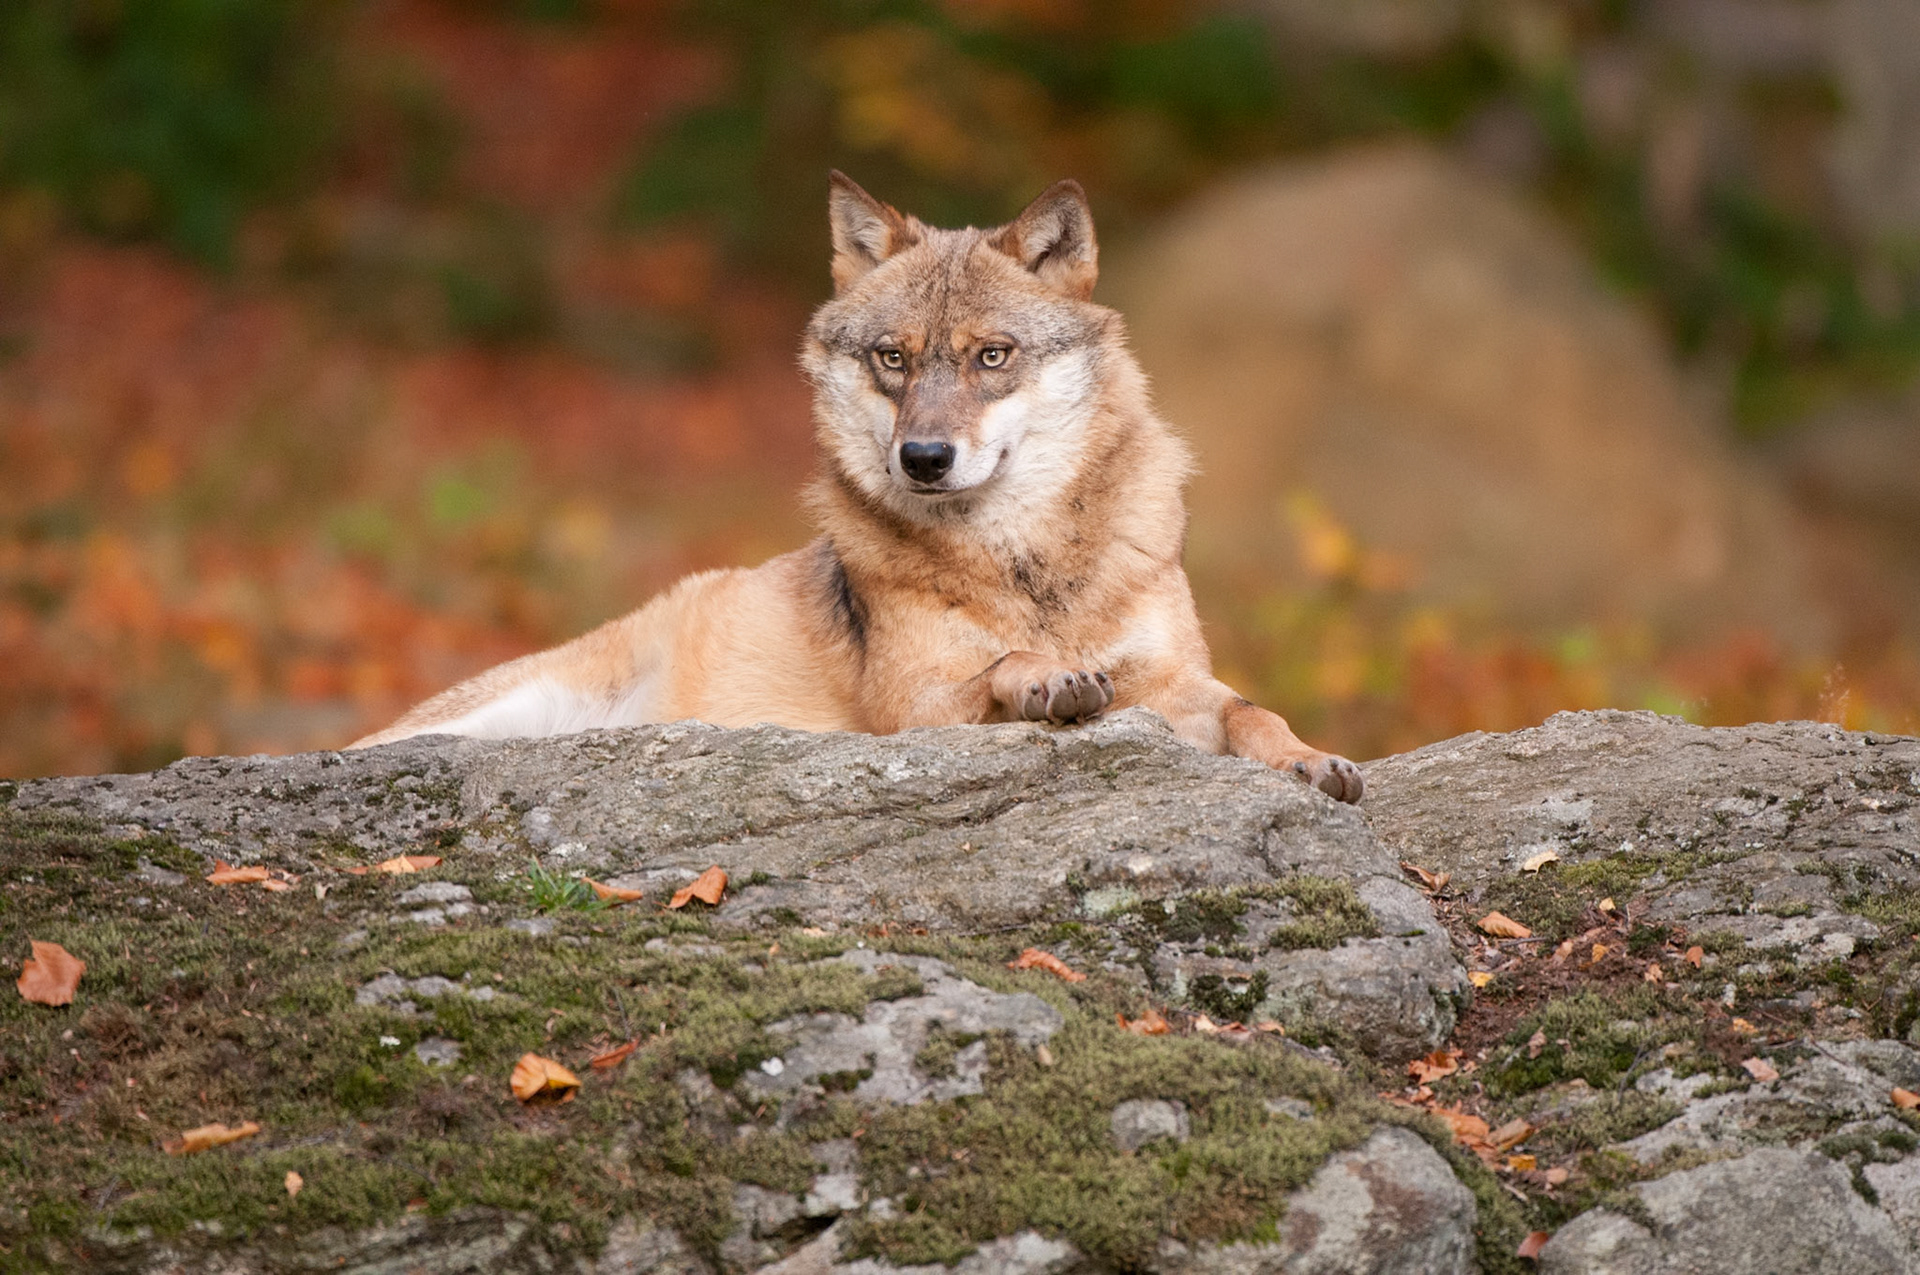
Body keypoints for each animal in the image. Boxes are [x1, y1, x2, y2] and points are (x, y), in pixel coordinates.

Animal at [350, 173, 1364, 803]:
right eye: (893, 358)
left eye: (991, 357)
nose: (924, 457)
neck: (1029, 569)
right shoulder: (904, 715)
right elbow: (1002, 665)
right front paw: (1045, 676)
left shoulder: (1174, 680)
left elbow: (1251, 707)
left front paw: (1315, 760)